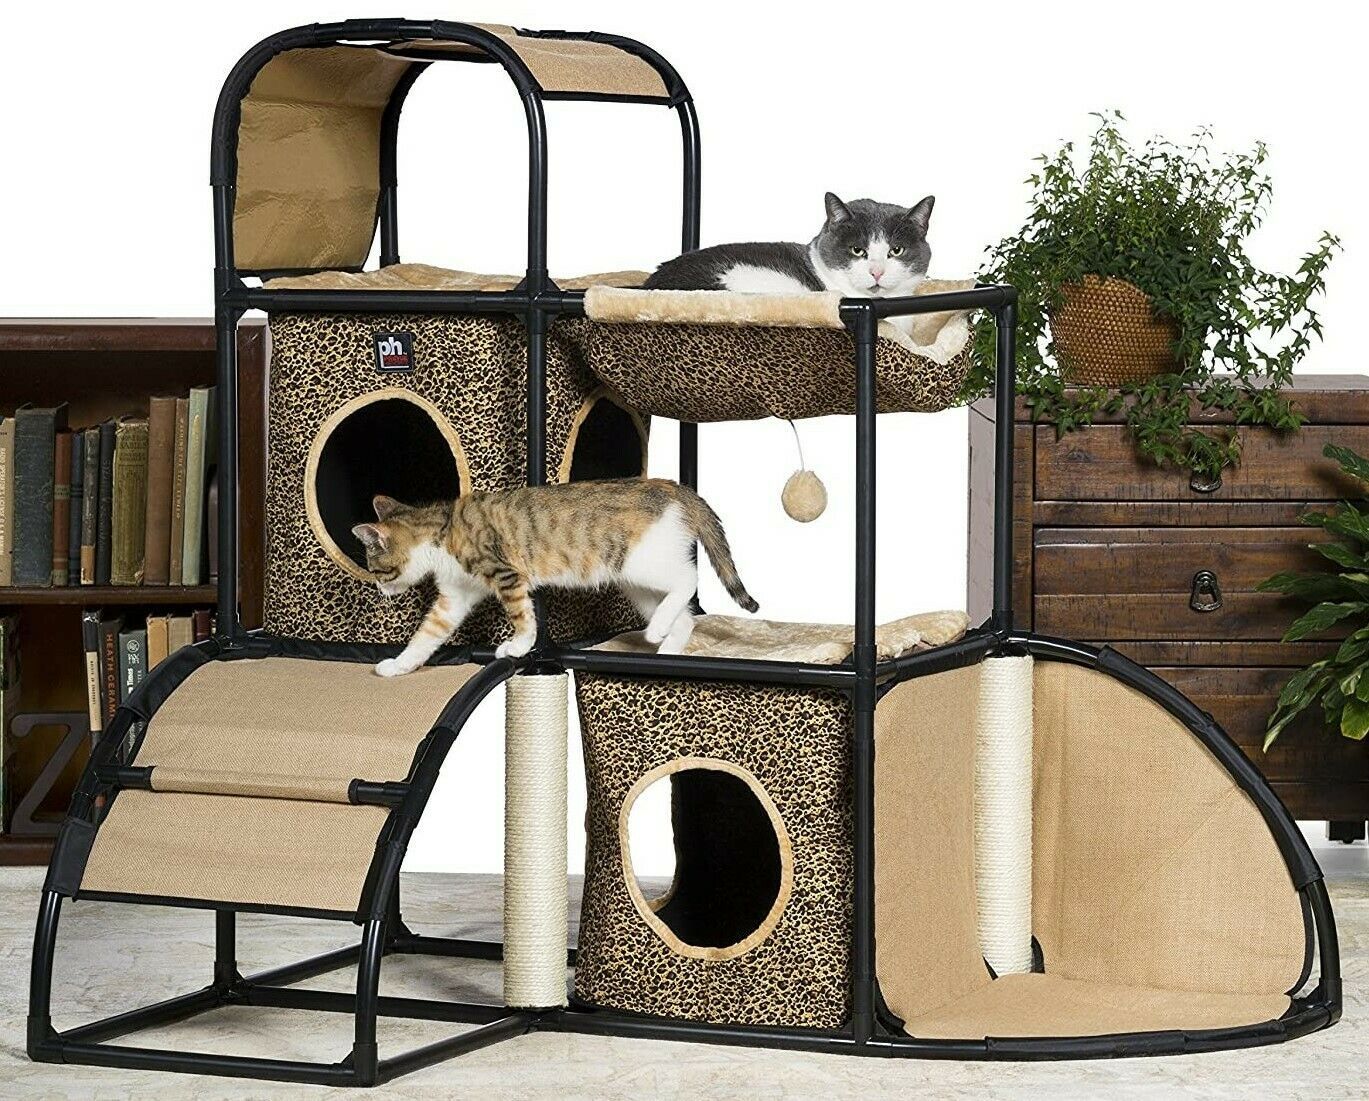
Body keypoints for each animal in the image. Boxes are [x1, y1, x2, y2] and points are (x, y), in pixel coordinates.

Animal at [351, 479, 759, 676]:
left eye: (375, 568)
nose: (379, 587)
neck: (441, 529)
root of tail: (674, 488)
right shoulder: (455, 596)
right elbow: (426, 636)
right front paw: (398, 666)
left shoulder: (507, 574)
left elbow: (522, 617)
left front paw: (517, 646)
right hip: (636, 583)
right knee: (685, 618)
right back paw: (666, 650)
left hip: (639, 562)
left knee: (688, 579)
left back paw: (658, 630)